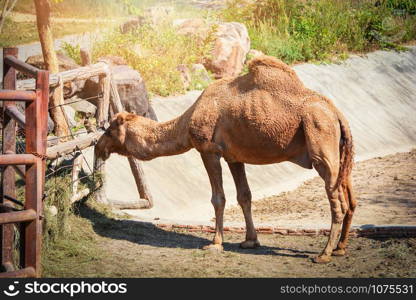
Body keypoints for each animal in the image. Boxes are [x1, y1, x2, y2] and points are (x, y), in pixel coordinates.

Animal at [95, 55, 358, 262]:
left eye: (110, 130)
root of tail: (337, 114)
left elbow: (218, 198)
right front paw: (250, 241)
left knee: (336, 199)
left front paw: (215, 244)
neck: (188, 121)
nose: (98, 148)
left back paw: (324, 254)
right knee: (349, 196)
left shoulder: (208, 150)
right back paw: (340, 248)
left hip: (320, 136)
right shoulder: (234, 157)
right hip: (339, 149)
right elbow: (244, 196)